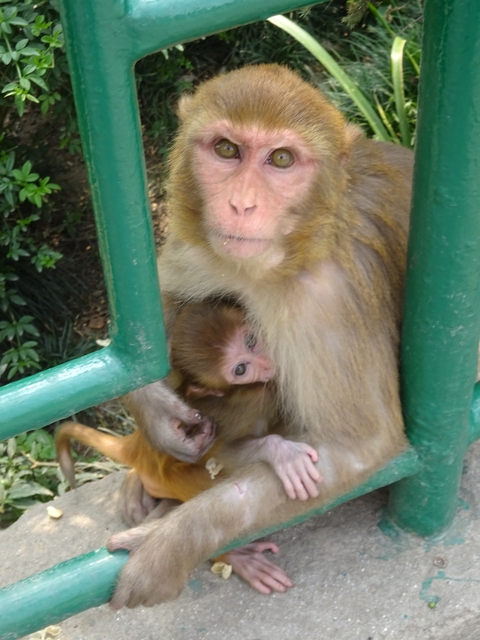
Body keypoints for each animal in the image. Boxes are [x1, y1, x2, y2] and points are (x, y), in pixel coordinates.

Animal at [106, 63, 413, 608]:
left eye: (281, 159)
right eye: (227, 149)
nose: (241, 205)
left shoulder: (328, 300)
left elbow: (361, 447)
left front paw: (169, 544)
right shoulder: (204, 247)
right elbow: (160, 304)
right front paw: (160, 415)